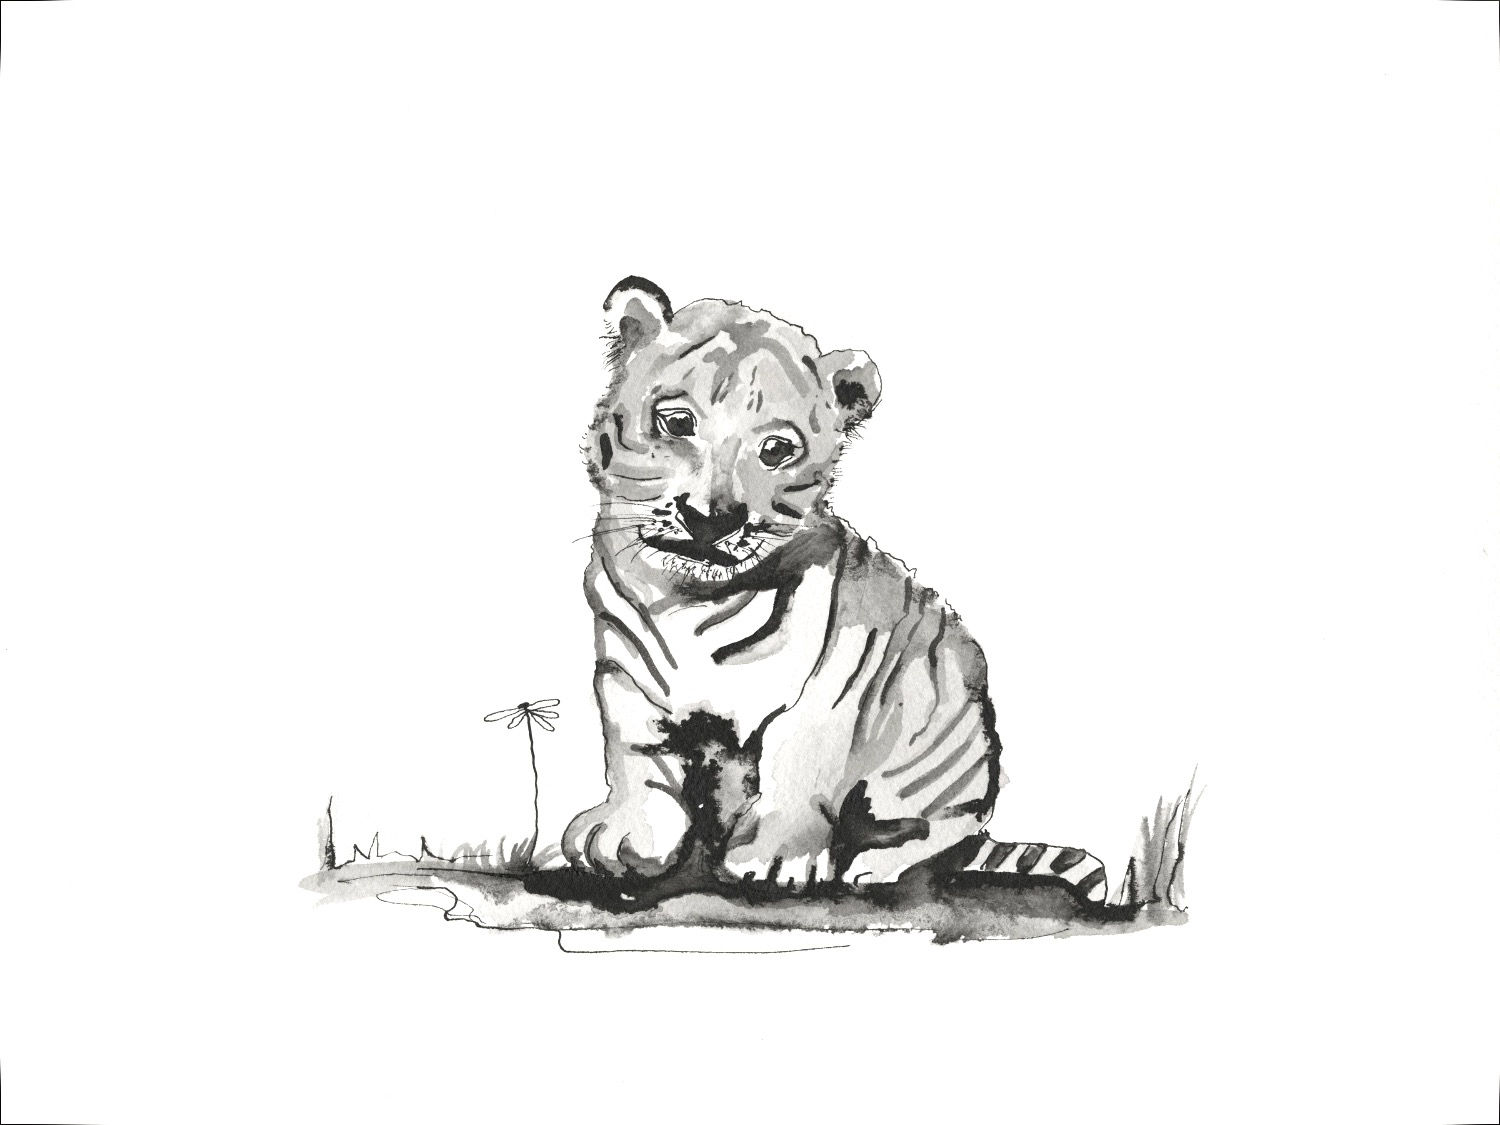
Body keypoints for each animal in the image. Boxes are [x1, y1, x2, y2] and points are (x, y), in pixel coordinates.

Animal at [560, 276, 1106, 902]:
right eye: (676, 423)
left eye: (776, 451)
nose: (713, 519)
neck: (688, 599)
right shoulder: (623, 675)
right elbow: (637, 756)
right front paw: (625, 839)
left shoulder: (827, 688)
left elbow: (797, 766)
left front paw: (773, 861)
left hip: (941, 752)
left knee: (943, 832)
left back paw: (874, 866)